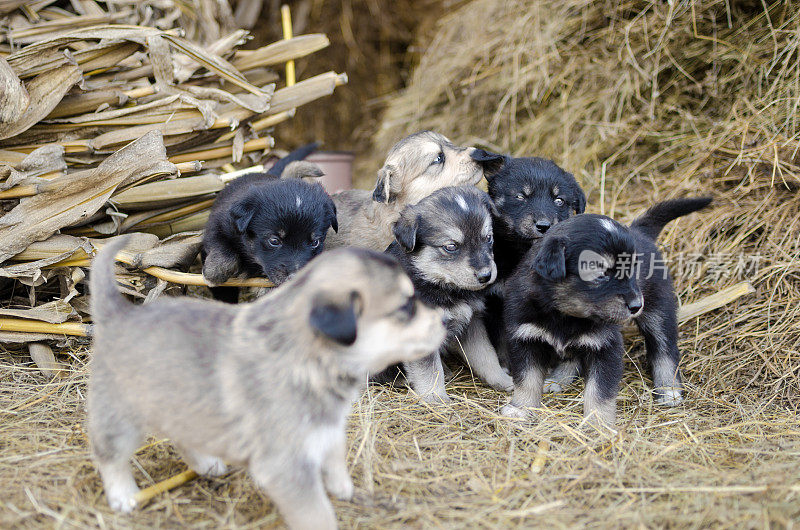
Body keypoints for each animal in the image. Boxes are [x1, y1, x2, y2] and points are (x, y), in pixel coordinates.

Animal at [92, 236, 450, 528]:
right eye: (406, 306)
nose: (443, 324)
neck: (310, 360)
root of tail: (120, 314)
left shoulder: (327, 431)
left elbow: (335, 464)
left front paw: (346, 491)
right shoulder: (286, 467)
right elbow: (317, 514)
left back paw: (207, 464)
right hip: (120, 419)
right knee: (109, 456)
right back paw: (123, 496)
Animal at [203, 144, 338, 302]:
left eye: (315, 242)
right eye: (274, 241)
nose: (295, 278)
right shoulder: (217, 224)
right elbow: (222, 248)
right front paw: (213, 274)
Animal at [378, 186, 510, 400]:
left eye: (488, 238)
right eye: (451, 246)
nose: (486, 275)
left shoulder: (471, 322)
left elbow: (486, 355)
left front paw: (503, 380)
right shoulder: (421, 332)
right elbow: (430, 372)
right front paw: (436, 398)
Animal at [504, 197, 716, 424]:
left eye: (631, 270)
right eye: (601, 274)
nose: (636, 305)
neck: (564, 315)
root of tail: (638, 230)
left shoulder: (606, 345)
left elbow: (599, 390)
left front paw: (598, 422)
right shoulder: (525, 338)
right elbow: (526, 379)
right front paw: (521, 408)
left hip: (658, 311)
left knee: (664, 349)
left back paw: (669, 390)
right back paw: (559, 378)